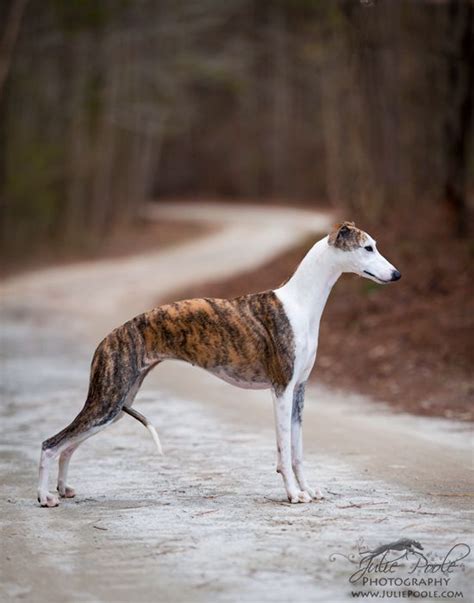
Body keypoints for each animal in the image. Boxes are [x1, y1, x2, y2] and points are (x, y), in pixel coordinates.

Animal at [38, 219, 400, 508]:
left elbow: (297, 451)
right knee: (51, 444)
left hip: (115, 405)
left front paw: (308, 490)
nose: (397, 275)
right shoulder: (281, 390)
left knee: (68, 446)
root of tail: (108, 338)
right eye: (367, 247)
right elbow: (284, 450)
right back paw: (45, 497)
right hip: (108, 400)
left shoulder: (299, 390)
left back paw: (63, 489)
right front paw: (293, 494)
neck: (300, 303)